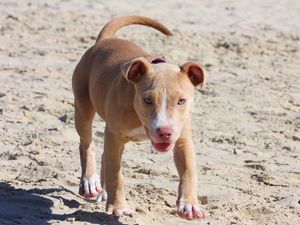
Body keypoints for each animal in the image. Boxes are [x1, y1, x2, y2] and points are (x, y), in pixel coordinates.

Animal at [71, 15, 205, 220]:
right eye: (147, 100)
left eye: (181, 101)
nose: (165, 132)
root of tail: (104, 41)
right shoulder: (115, 137)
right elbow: (116, 176)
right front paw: (118, 207)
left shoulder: (182, 139)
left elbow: (188, 172)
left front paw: (189, 205)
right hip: (83, 107)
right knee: (87, 144)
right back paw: (90, 181)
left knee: (103, 155)